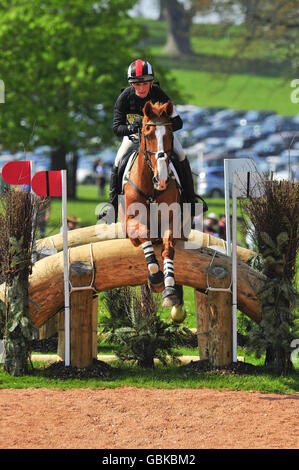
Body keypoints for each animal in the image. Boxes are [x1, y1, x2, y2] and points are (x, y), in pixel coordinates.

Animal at [120, 101, 186, 308]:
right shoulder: (131, 225)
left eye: (170, 134)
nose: (162, 180)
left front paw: (170, 288)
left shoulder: (172, 222)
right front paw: (156, 277)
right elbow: (144, 233)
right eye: (148, 135)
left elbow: (168, 247)